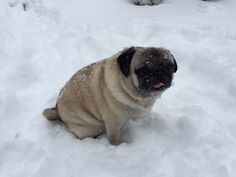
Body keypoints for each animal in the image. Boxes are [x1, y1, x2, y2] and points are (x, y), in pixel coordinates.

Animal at [43, 47, 177, 145]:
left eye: (170, 66)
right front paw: (116, 147)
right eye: (143, 70)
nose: (159, 72)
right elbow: (113, 139)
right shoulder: (113, 123)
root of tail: (57, 109)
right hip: (89, 129)